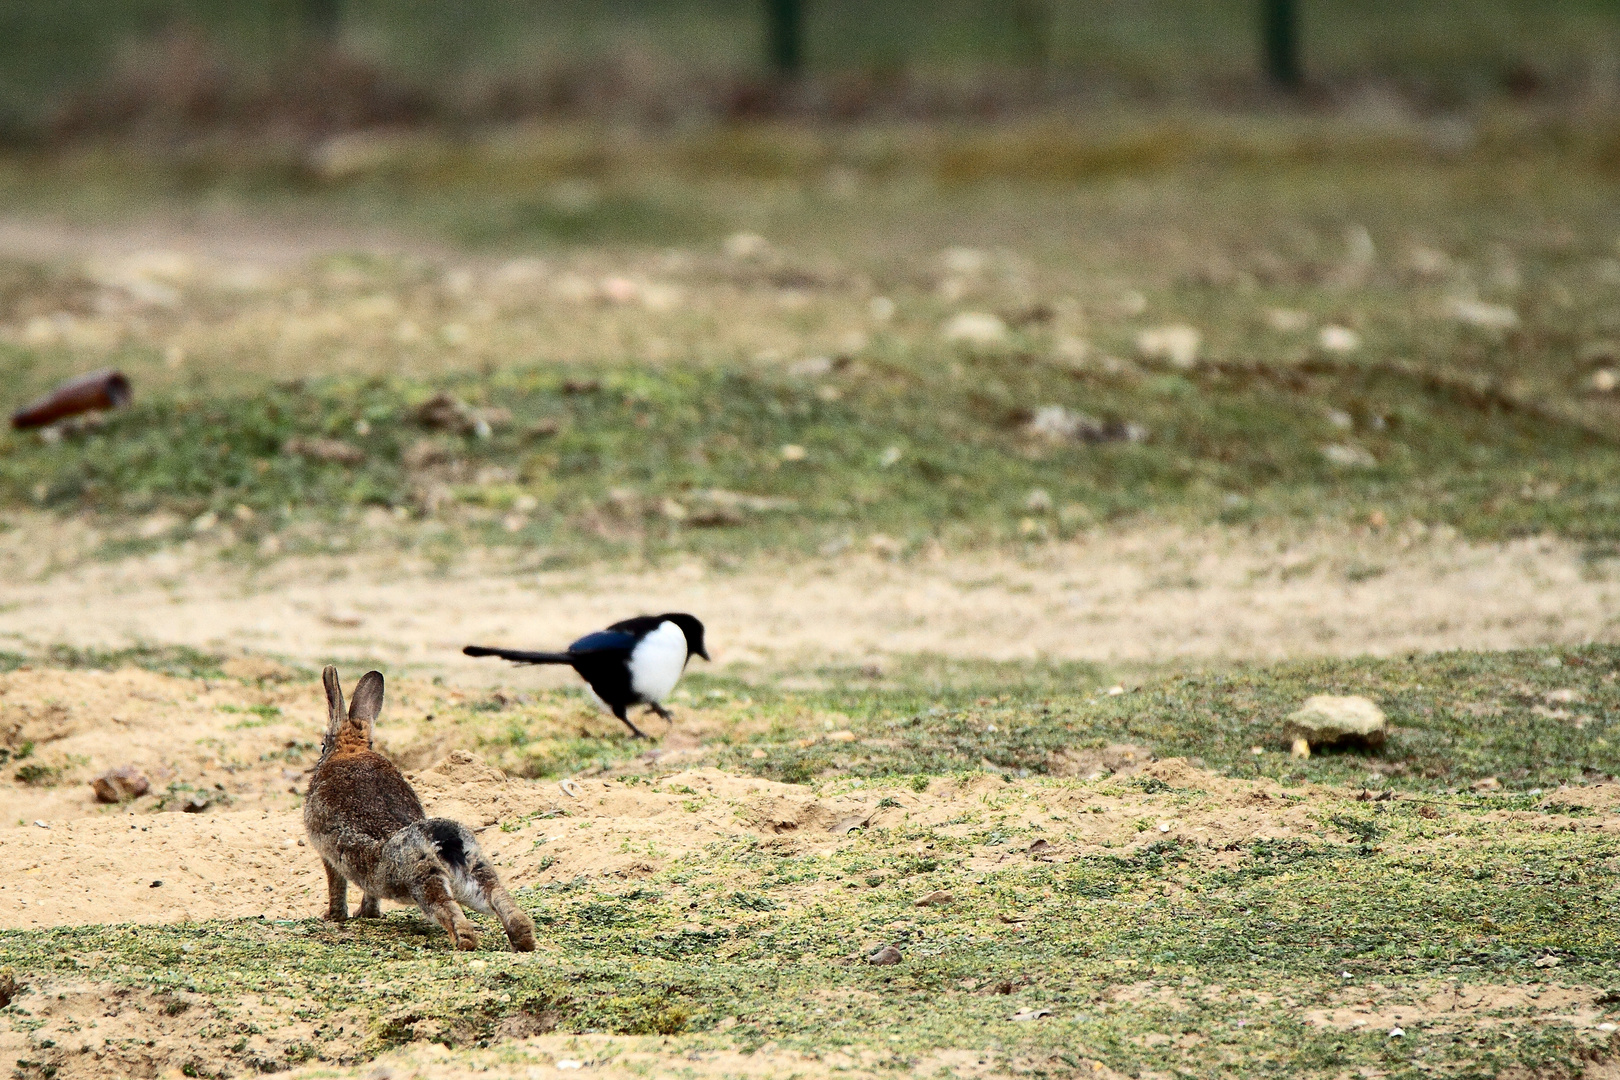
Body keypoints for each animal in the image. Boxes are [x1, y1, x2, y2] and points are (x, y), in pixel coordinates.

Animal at [301, 663, 534, 952]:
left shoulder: (327, 855)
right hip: (475, 874)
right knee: (498, 898)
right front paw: (367, 914)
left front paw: (335, 916)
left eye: (322, 745)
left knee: (448, 911)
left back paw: (464, 942)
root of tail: (445, 840)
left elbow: (337, 887)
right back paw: (523, 939)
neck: (351, 750)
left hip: (423, 881)